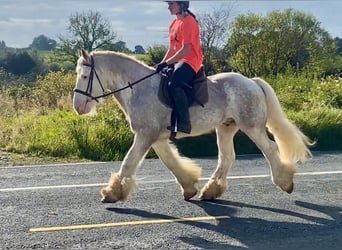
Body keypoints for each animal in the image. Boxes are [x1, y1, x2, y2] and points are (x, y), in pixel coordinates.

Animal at [73, 48, 312, 203]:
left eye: (84, 76)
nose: (78, 106)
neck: (139, 88)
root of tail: (251, 81)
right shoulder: (155, 137)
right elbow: (170, 162)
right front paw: (188, 187)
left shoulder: (145, 134)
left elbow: (129, 162)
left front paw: (112, 193)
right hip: (226, 127)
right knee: (227, 157)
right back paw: (211, 191)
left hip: (252, 126)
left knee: (270, 149)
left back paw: (285, 182)